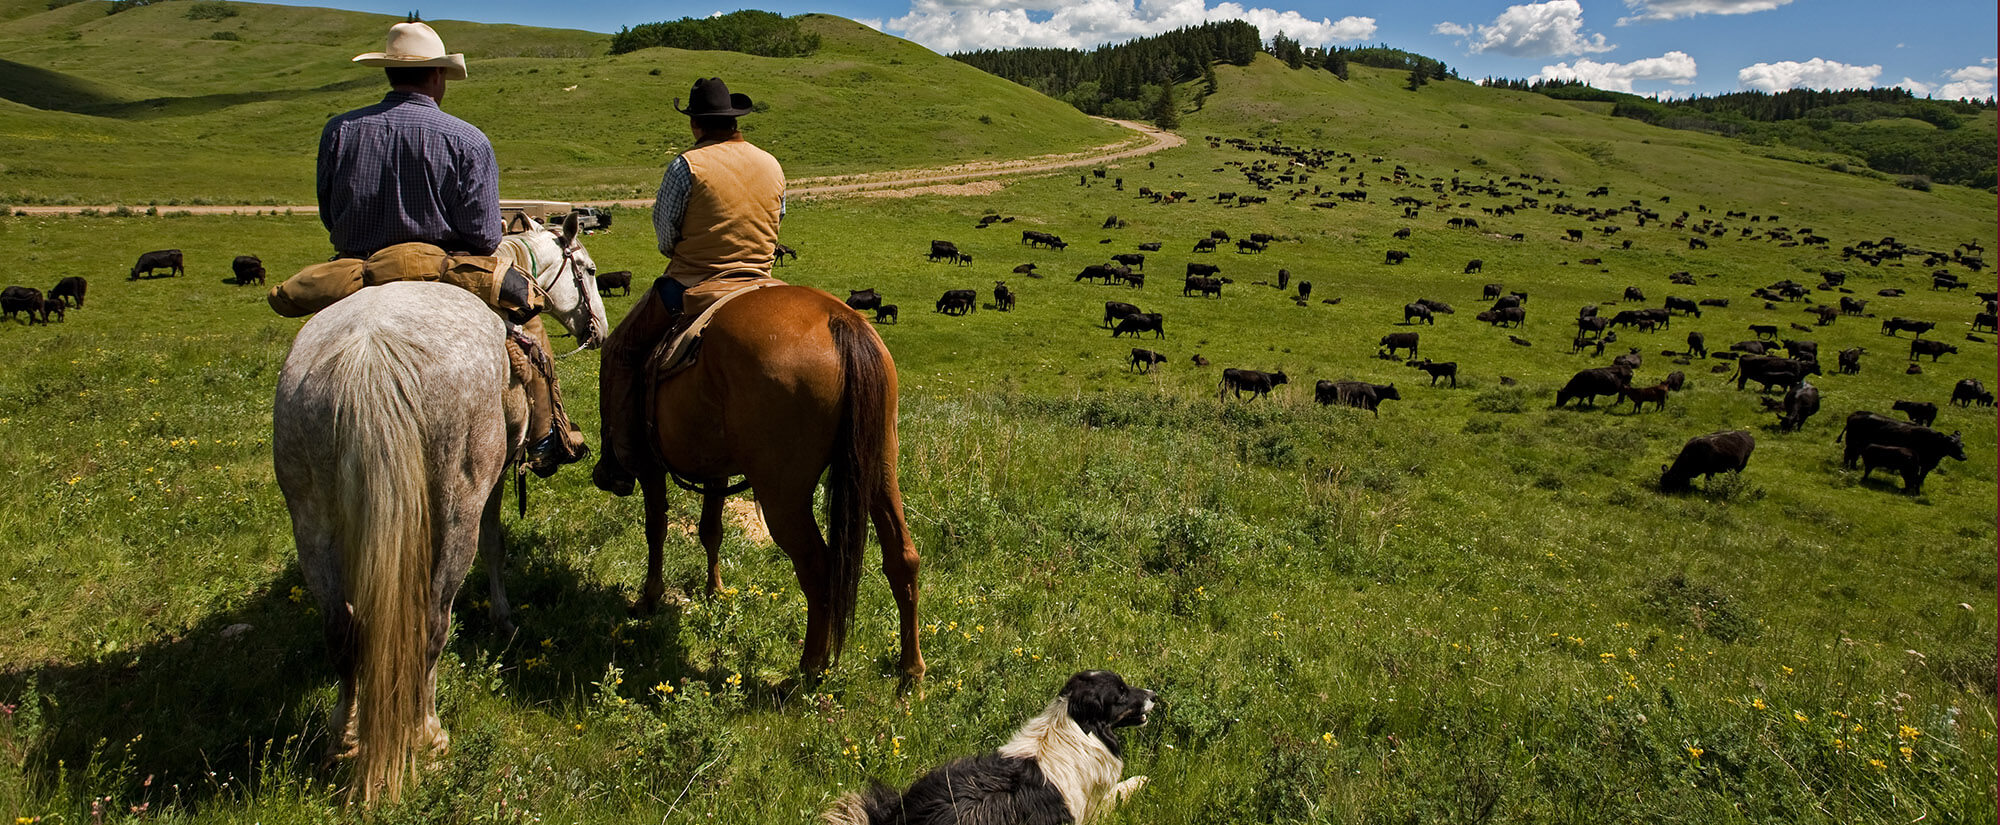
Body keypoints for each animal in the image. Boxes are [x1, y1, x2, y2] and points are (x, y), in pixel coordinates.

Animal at [636, 286, 924, 684]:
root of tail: (839, 319)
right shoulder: (715, 471)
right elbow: (711, 529)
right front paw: (714, 591)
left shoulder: (649, 466)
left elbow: (657, 528)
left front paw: (651, 595)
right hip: (879, 469)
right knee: (902, 558)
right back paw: (911, 672)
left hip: (782, 498)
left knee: (817, 567)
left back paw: (810, 668)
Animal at [824, 668, 1160, 824]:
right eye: (1121, 693)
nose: (1154, 695)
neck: (1073, 723)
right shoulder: (1091, 809)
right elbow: (1121, 790)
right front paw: (1143, 779)